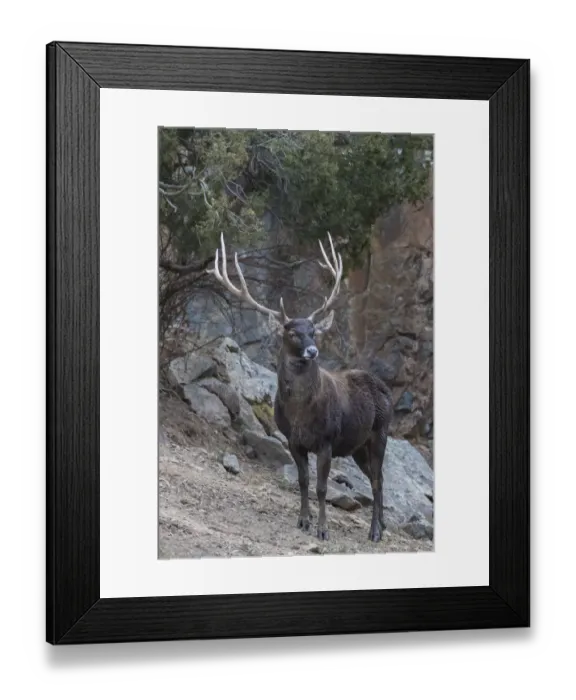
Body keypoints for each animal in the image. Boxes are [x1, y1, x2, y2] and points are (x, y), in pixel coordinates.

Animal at [207, 232, 393, 543]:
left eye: (314, 330)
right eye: (292, 332)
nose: (312, 351)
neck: (301, 413)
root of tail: (386, 389)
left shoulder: (327, 439)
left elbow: (321, 487)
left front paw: (323, 529)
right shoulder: (293, 440)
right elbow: (303, 482)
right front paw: (303, 521)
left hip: (380, 431)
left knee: (378, 480)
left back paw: (375, 531)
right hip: (357, 445)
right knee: (374, 478)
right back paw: (382, 525)